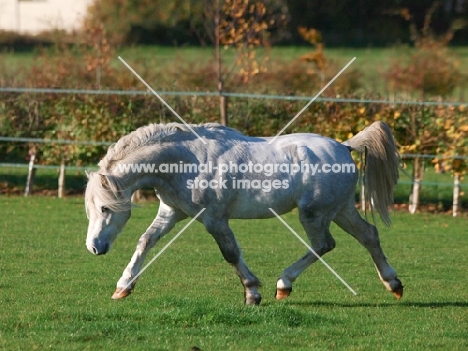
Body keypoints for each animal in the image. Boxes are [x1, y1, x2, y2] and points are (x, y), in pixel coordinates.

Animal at [86, 122, 404, 304]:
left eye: (105, 207)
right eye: (90, 211)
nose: (93, 248)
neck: (185, 161)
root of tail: (343, 146)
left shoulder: (214, 219)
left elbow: (231, 254)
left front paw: (252, 293)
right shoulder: (171, 213)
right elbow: (145, 241)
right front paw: (123, 287)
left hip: (314, 214)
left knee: (323, 244)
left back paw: (283, 284)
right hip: (341, 210)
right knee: (368, 235)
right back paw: (394, 284)